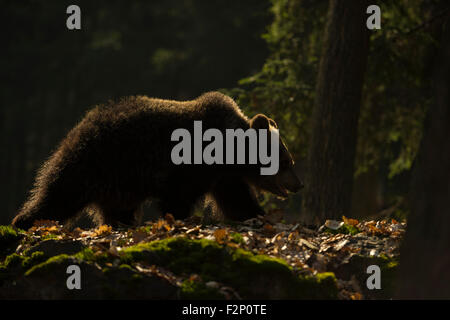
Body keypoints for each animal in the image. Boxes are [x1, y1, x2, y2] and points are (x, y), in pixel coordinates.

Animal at [12, 91, 304, 229]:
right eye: (286, 161)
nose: (299, 184)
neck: (229, 152)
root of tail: (79, 126)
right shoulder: (190, 167)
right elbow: (178, 199)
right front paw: (177, 219)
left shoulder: (223, 177)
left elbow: (237, 200)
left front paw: (259, 215)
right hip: (96, 162)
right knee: (58, 196)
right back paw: (23, 224)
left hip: (120, 184)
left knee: (116, 210)